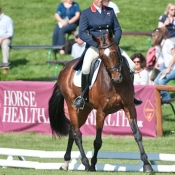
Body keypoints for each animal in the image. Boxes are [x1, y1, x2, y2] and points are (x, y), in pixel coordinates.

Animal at [49, 30, 153, 172]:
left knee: (72, 131)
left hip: (86, 109)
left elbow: (137, 134)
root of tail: (65, 68)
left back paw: (65, 163)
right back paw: (86, 164)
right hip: (71, 105)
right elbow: (97, 141)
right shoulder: (101, 112)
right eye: (102, 56)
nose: (116, 78)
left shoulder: (129, 107)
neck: (114, 84)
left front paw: (147, 164)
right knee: (77, 134)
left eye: (115, 52)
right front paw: (93, 165)